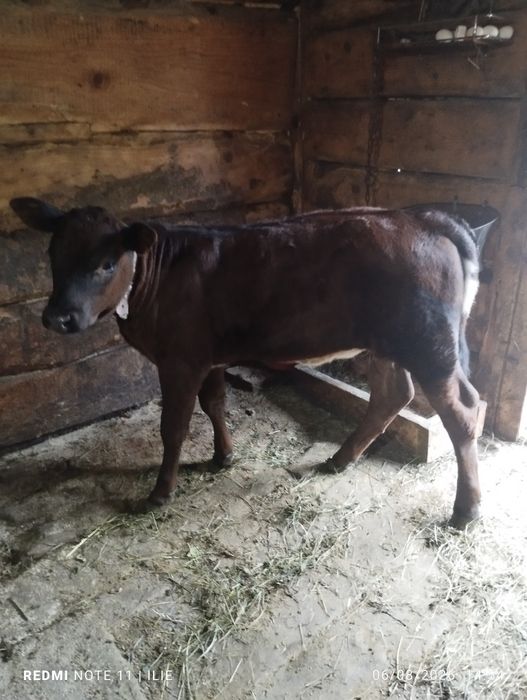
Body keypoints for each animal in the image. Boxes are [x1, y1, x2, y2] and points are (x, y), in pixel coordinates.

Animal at [10, 198, 485, 527]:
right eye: (53, 256)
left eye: (107, 263)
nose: (56, 317)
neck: (159, 275)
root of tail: (420, 217)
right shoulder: (209, 356)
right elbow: (215, 404)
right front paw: (224, 456)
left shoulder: (179, 360)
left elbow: (174, 427)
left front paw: (161, 492)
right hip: (389, 343)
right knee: (393, 395)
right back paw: (340, 459)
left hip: (430, 345)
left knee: (463, 413)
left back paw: (466, 510)